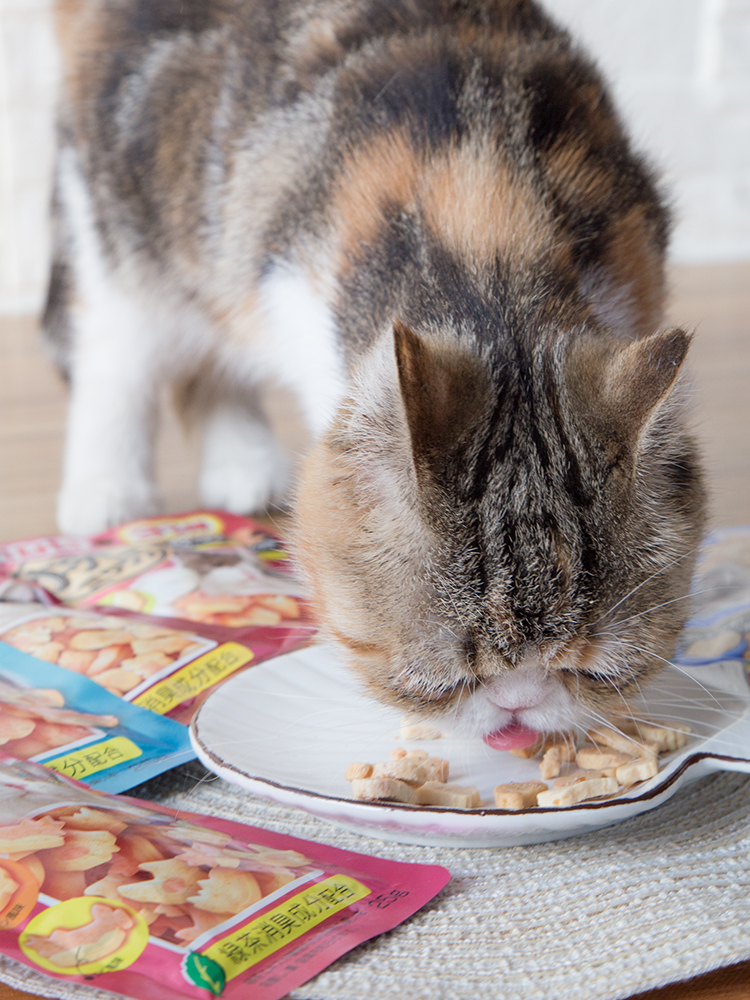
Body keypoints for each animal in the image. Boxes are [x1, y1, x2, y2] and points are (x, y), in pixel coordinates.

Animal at [48, 0, 712, 748]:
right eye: (440, 681)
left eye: (596, 671)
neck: (494, 250)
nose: (518, 704)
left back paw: (244, 467)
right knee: (117, 347)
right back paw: (109, 491)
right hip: (130, 220)